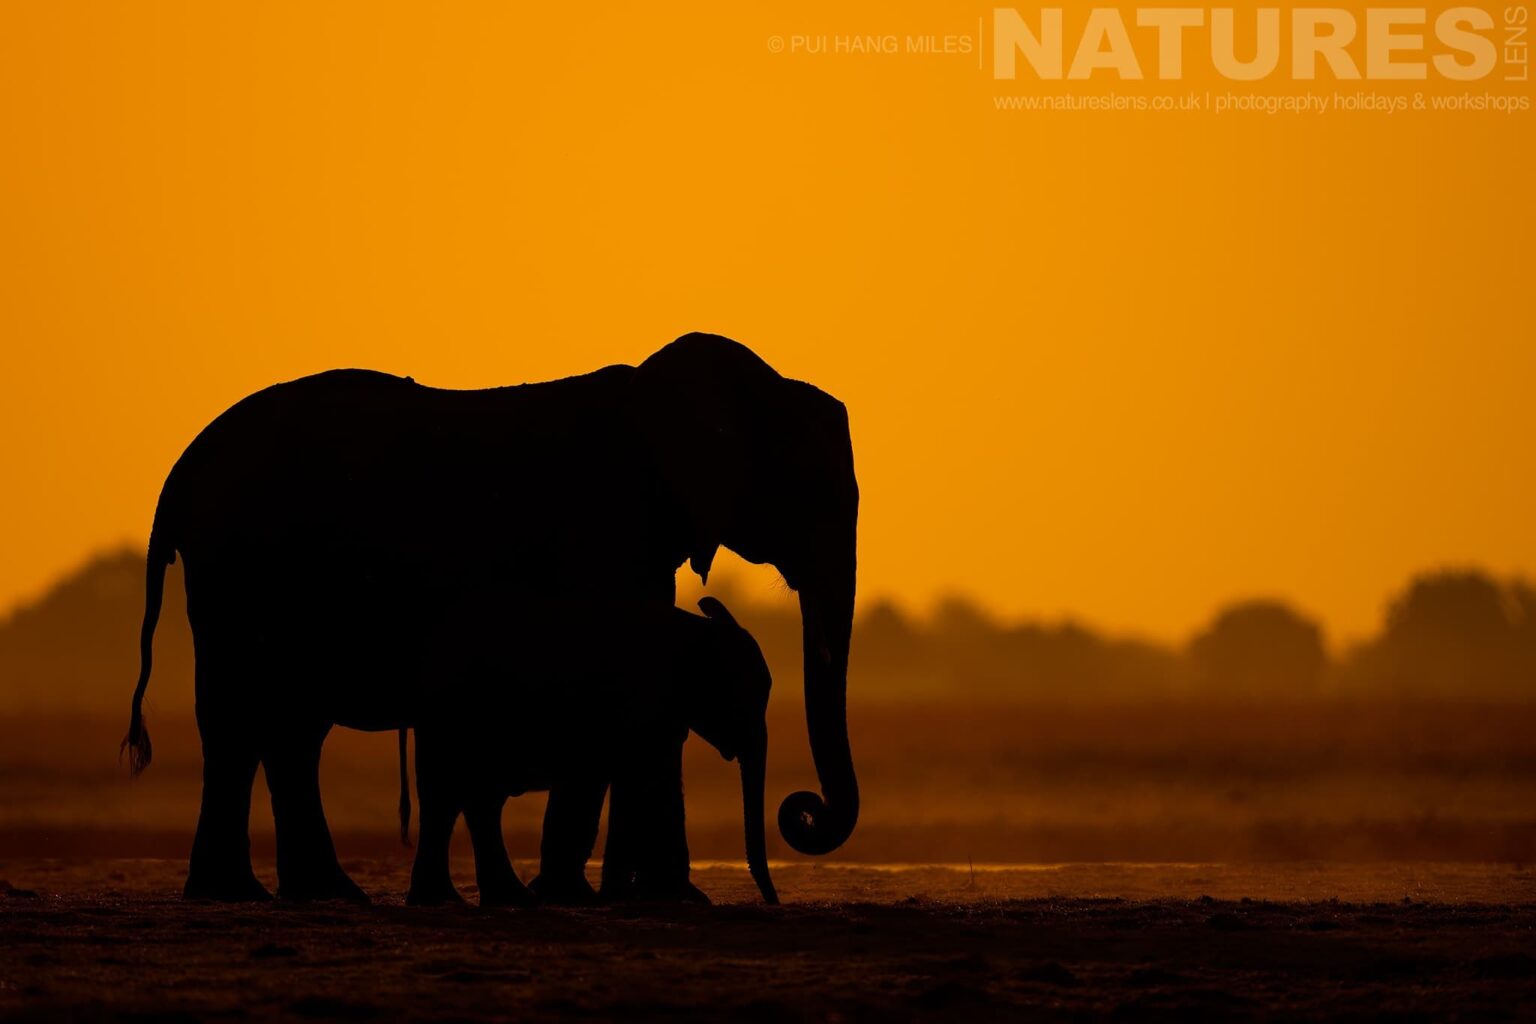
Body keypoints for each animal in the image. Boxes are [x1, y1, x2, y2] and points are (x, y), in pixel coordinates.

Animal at [404, 596, 776, 908]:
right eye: (743, 696)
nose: (772, 901)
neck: (697, 630)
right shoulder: (638, 705)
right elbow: (632, 780)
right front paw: (605, 898)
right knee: (469, 798)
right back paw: (504, 899)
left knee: (454, 799)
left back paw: (451, 898)